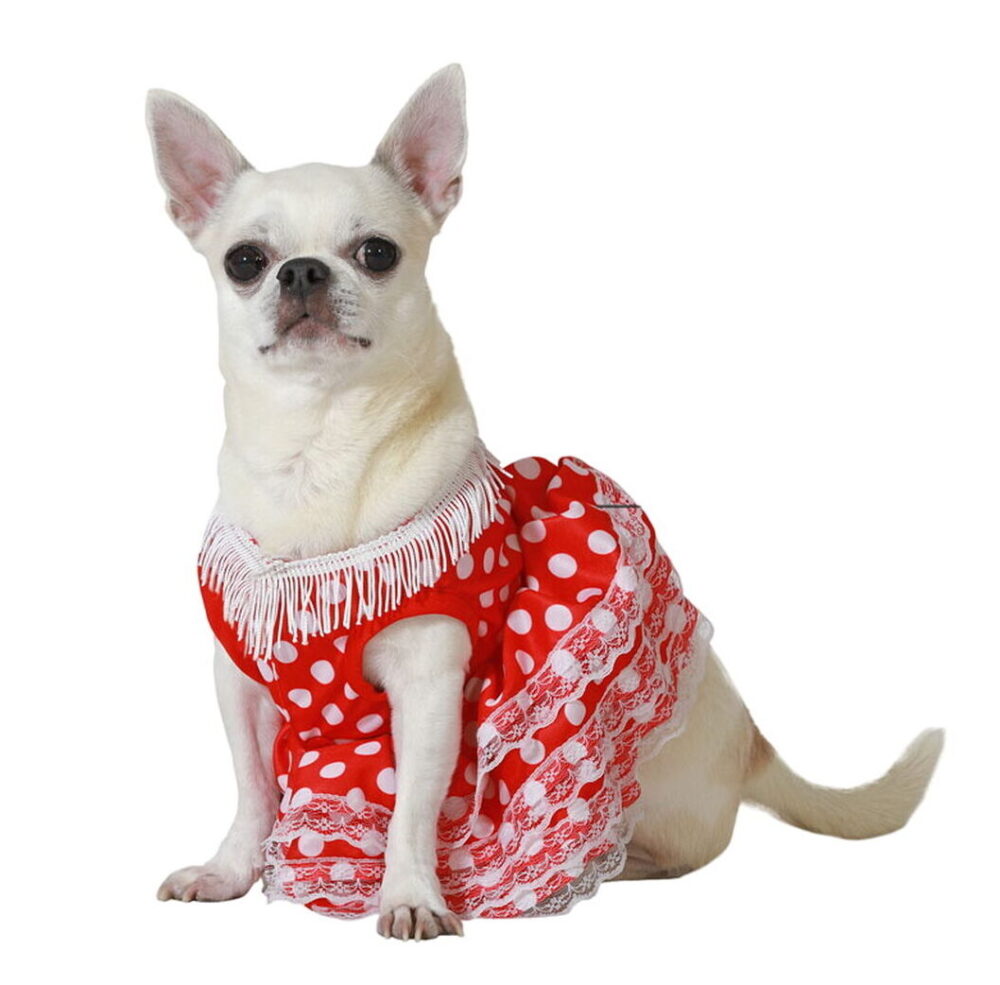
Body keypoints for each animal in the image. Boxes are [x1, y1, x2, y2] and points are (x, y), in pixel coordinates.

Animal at [147, 65, 944, 941]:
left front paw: (410, 894)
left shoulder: (430, 682)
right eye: (245, 260)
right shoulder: (242, 685)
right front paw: (229, 871)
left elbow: (412, 808)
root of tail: (752, 740)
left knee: (683, 848)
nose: (302, 271)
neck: (317, 445)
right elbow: (253, 788)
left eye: (377, 253)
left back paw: (609, 864)